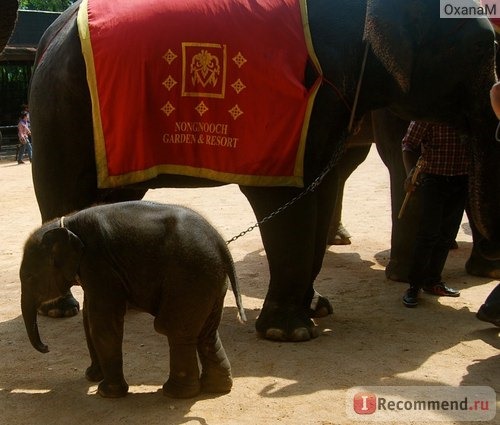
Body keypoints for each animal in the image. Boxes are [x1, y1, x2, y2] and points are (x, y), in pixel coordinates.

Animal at [6, 0, 500, 342]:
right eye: (483, 47)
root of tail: (50, 31)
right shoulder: (285, 114)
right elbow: (287, 201)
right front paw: (292, 333)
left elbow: (319, 192)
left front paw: (317, 309)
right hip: (57, 110)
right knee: (60, 194)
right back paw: (60, 309)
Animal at [19, 200, 246, 396]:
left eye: (29, 277)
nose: (46, 348)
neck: (65, 223)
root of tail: (221, 243)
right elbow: (88, 319)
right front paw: (92, 377)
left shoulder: (99, 264)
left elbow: (101, 323)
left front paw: (106, 392)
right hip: (211, 280)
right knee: (207, 332)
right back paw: (217, 388)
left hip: (189, 277)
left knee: (174, 329)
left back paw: (175, 393)